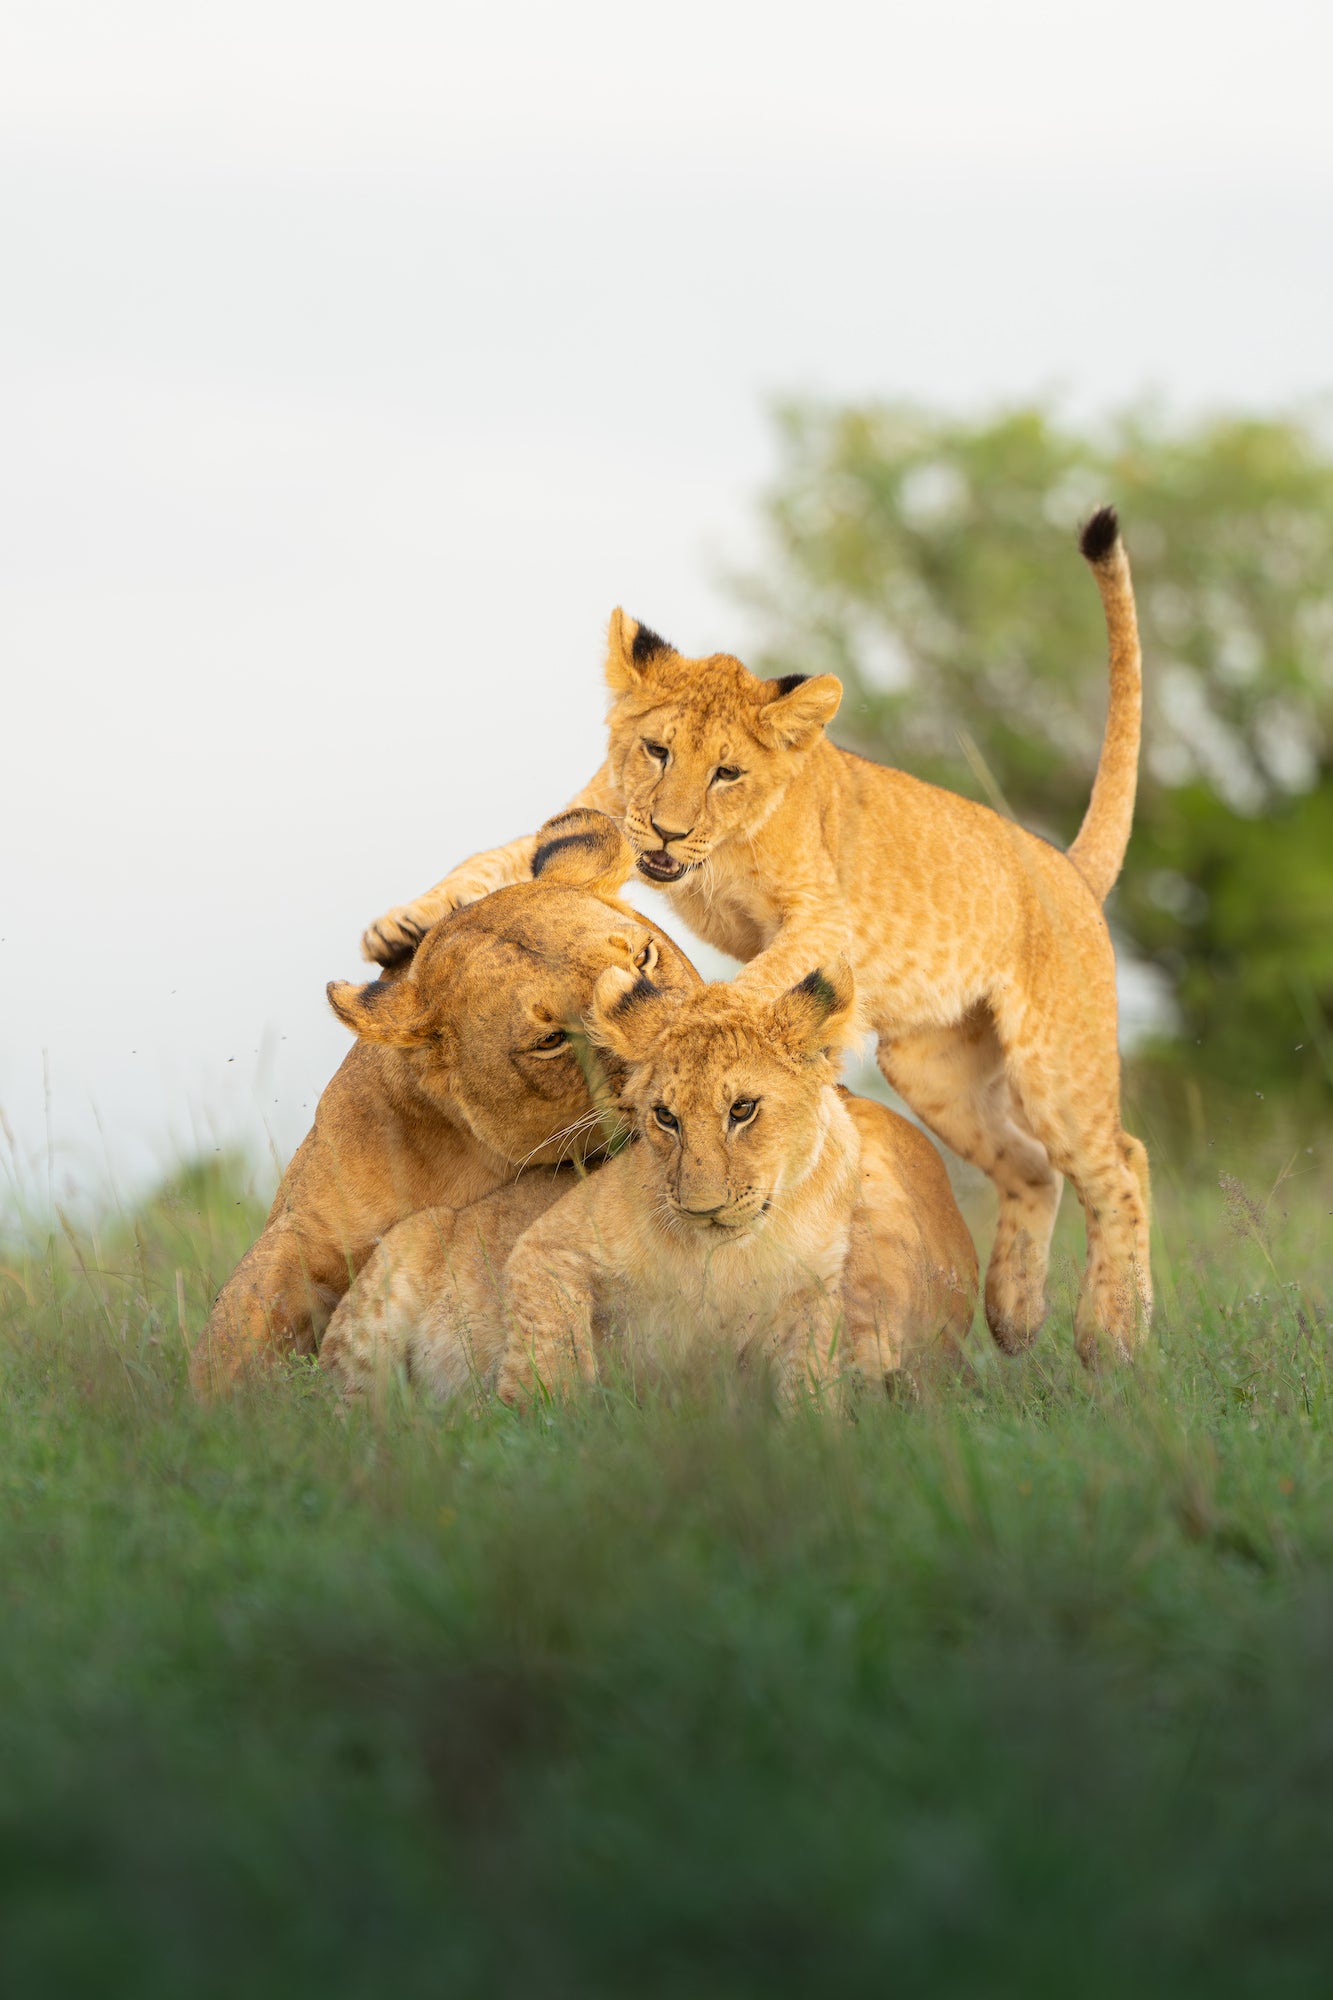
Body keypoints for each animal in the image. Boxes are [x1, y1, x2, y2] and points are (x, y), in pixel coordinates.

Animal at [319, 961, 979, 1404]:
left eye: (743, 1110)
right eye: (666, 1116)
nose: (702, 1207)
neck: (729, 1253)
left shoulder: (813, 1294)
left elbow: (807, 1385)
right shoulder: (546, 1248)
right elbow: (551, 1356)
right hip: (393, 1274)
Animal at [360, 511, 1148, 1363]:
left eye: (726, 773)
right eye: (658, 751)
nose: (667, 832)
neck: (715, 851)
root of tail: (1064, 866)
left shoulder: (823, 916)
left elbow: (759, 979)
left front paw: (699, 1021)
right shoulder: (602, 815)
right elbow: (495, 860)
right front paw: (403, 923)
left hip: (1053, 1062)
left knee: (1118, 1164)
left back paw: (1114, 1337)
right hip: (932, 1069)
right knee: (1032, 1169)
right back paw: (1013, 1314)